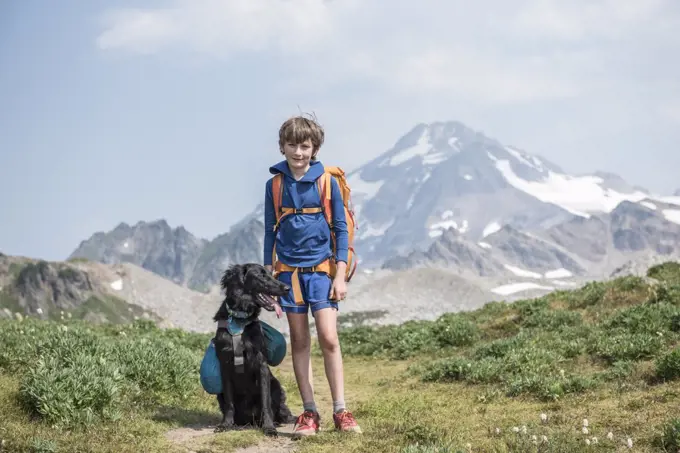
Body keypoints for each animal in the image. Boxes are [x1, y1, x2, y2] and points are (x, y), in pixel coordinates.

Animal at [212, 264, 298, 436]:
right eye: (261, 276)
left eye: (270, 274)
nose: (287, 288)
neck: (240, 320)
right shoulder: (225, 366)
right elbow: (229, 403)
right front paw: (226, 424)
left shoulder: (261, 365)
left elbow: (265, 402)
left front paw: (269, 427)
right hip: (220, 394)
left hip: (276, 386)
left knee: (280, 411)